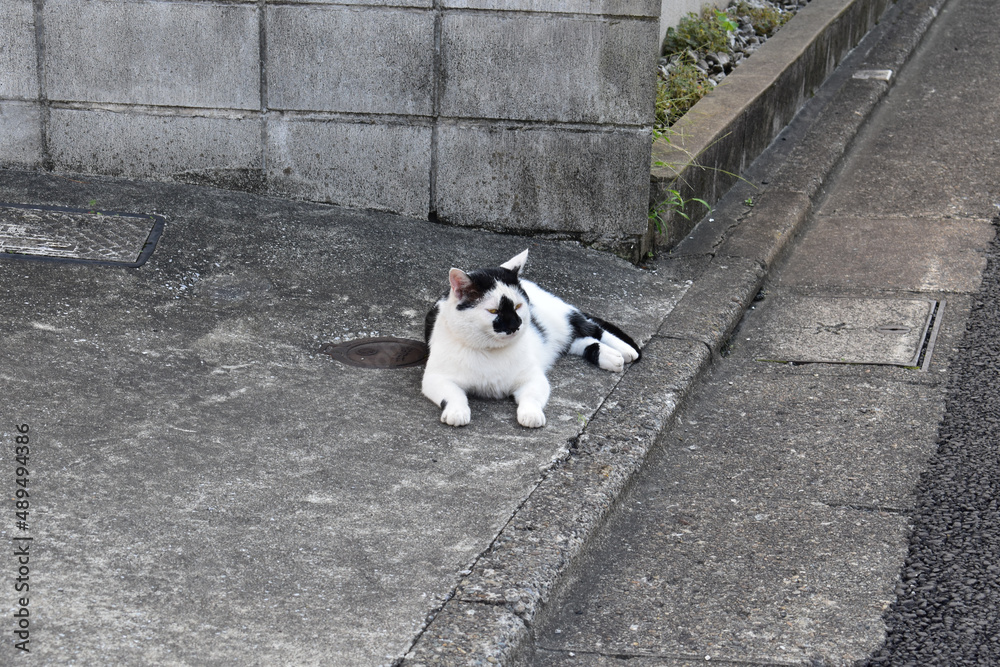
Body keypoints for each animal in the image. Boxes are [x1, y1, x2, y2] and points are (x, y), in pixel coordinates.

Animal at [422, 249, 640, 428]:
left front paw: (531, 415)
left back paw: (625, 350)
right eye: (494, 311)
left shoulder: (533, 377)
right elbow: (453, 394)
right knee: (580, 341)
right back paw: (609, 356)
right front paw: (457, 412)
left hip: (564, 317)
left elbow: (531, 398)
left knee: (592, 328)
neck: (490, 353)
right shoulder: (435, 377)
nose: (515, 325)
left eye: (518, 306)